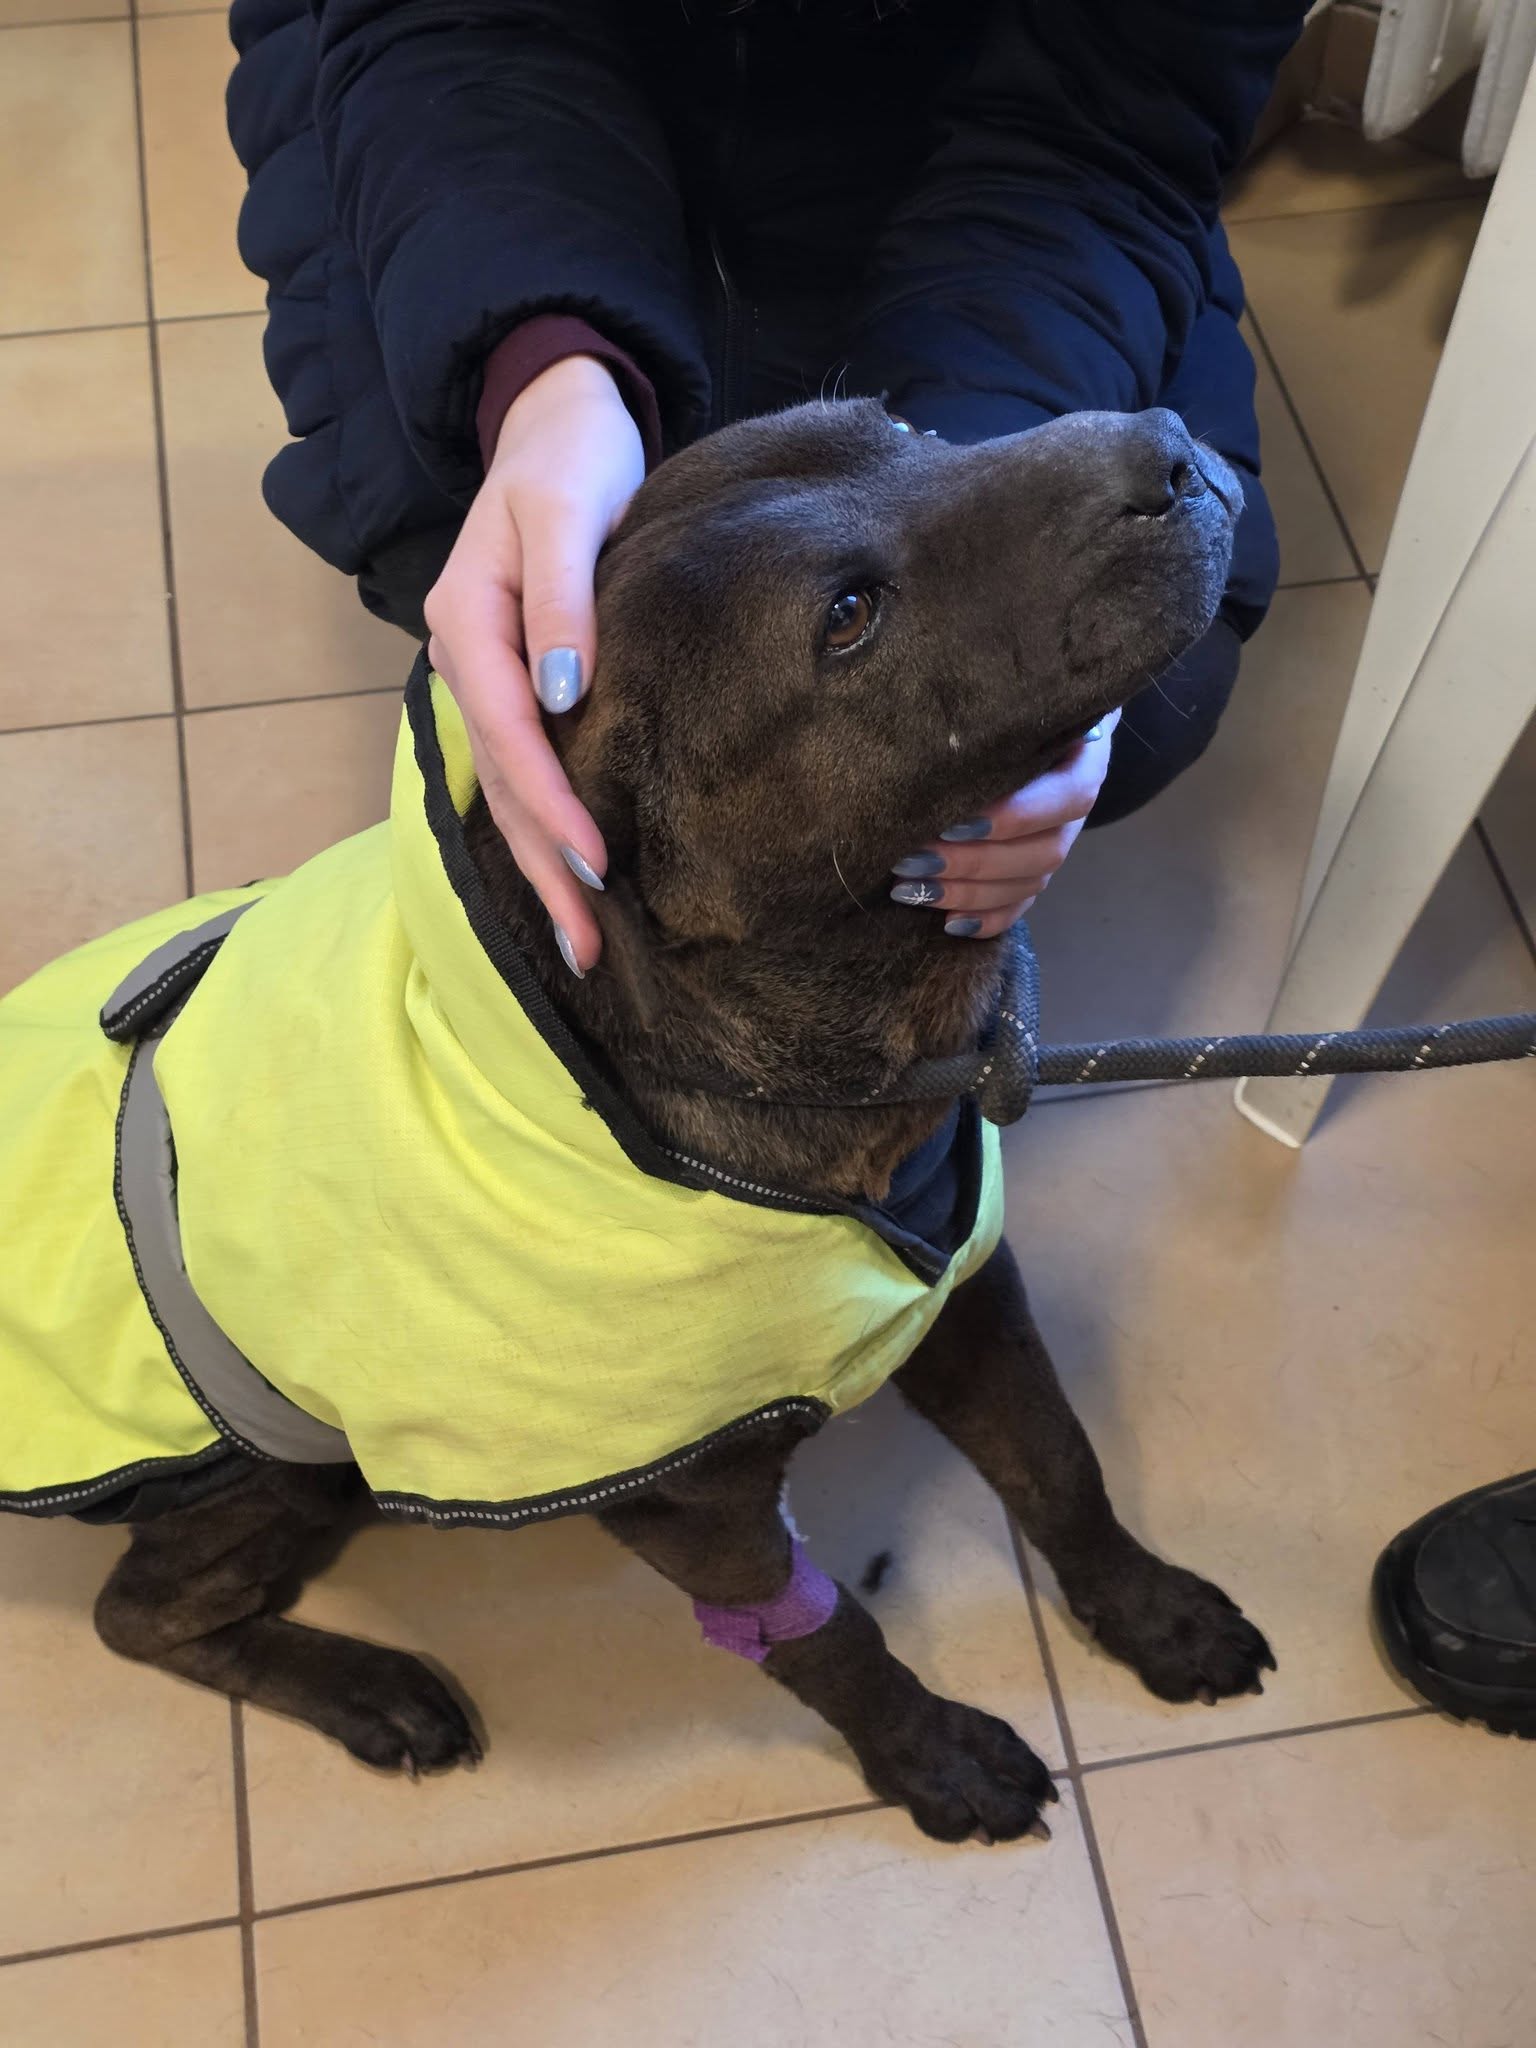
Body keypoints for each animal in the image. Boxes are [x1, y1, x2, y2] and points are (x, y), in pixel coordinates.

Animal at [0, 398, 1271, 1846]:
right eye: (847, 617)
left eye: (906, 423)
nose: (1167, 443)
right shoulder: (695, 1502)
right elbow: (824, 1637)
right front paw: (928, 1755)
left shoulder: (967, 1291)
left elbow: (1060, 1464)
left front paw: (1149, 1610)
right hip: (272, 1470)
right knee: (139, 1614)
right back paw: (368, 1688)